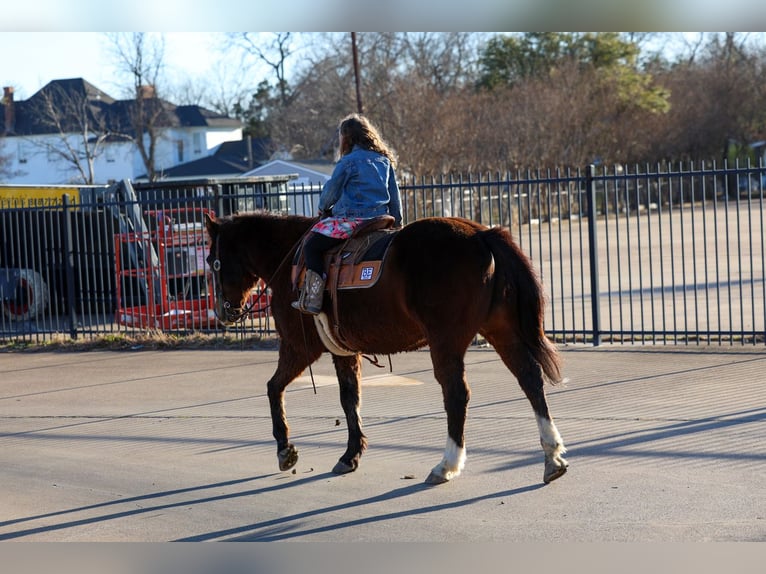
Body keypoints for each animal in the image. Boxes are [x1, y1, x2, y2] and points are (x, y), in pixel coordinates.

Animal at [204, 211, 568, 485]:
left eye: (211, 259)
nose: (223, 311)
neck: (288, 257)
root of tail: (481, 234)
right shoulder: (344, 352)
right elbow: (350, 399)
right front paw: (351, 454)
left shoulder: (298, 347)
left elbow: (273, 388)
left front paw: (285, 449)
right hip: (500, 331)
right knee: (530, 379)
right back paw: (551, 455)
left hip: (446, 342)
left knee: (457, 394)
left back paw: (448, 463)